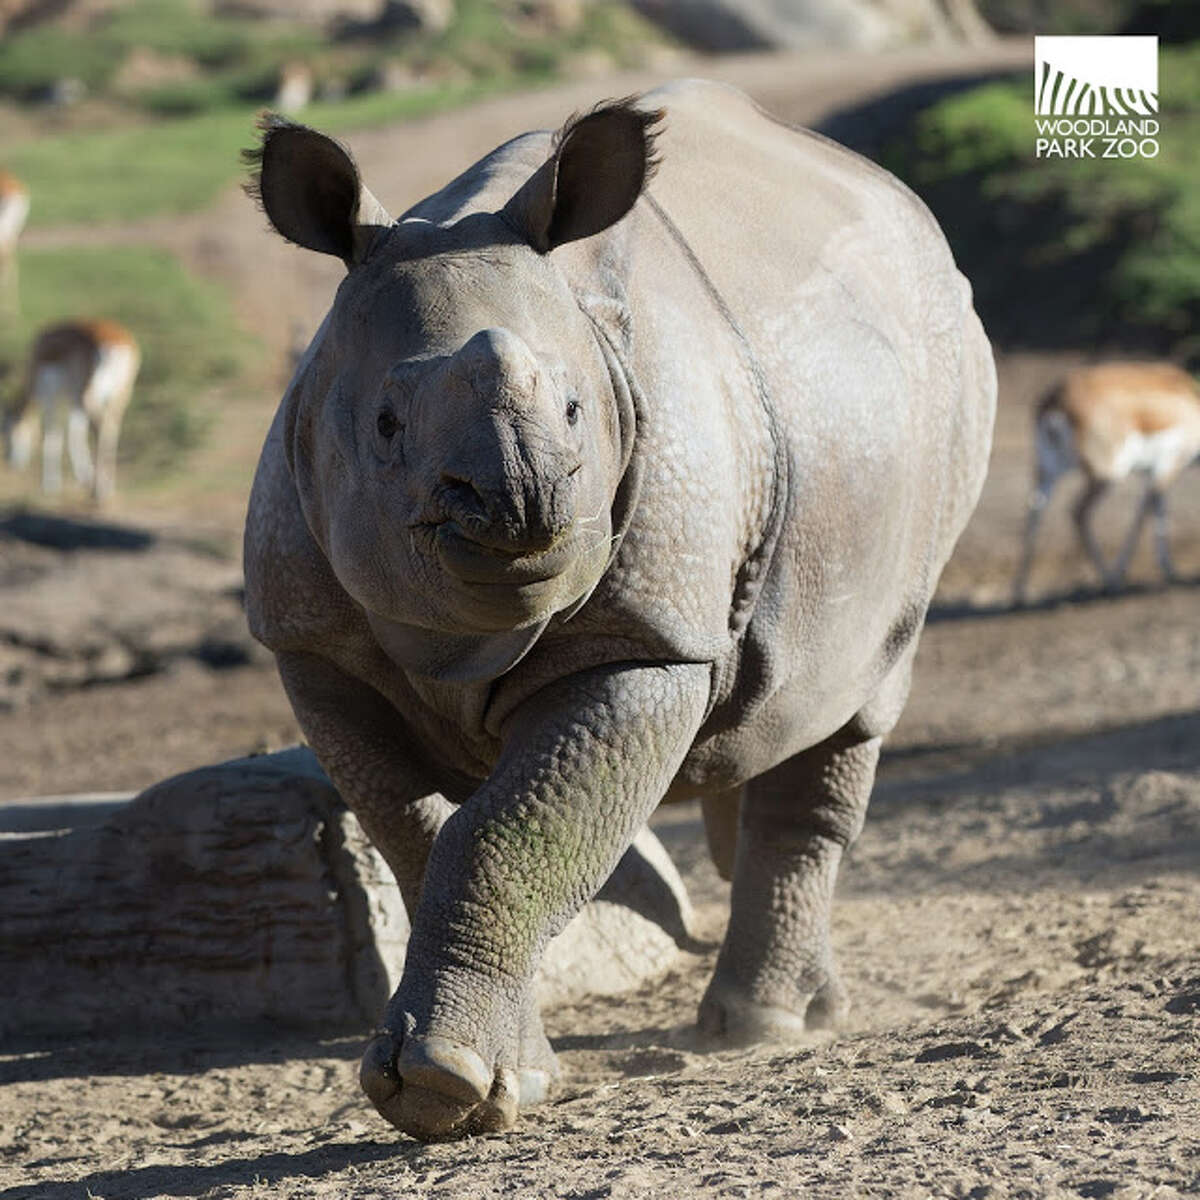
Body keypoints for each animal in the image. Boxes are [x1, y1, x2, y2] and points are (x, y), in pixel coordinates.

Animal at [3, 319, 140, 501]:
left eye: (7, 429)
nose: (9, 460)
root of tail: (115, 342)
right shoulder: (73, 401)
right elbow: (75, 434)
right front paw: (84, 477)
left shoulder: (50, 396)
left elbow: (53, 435)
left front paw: (49, 486)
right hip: (119, 397)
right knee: (111, 428)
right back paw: (106, 489)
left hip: (88, 396)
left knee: (100, 427)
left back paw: (98, 492)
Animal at [1012, 357, 1200, 597]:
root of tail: (1056, 401)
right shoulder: (1168, 466)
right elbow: (1144, 515)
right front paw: (1127, 572)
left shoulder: (1151, 473)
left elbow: (1156, 511)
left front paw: (1170, 570)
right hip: (1107, 475)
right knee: (1078, 512)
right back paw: (1109, 581)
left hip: (1048, 471)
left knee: (1035, 511)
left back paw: (1019, 593)